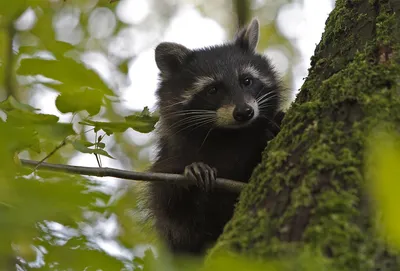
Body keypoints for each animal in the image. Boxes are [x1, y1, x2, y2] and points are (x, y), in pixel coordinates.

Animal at [147, 19, 288, 258]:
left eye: (246, 81)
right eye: (213, 89)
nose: (245, 112)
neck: (226, 134)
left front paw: (271, 125)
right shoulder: (170, 156)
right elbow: (169, 207)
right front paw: (193, 171)